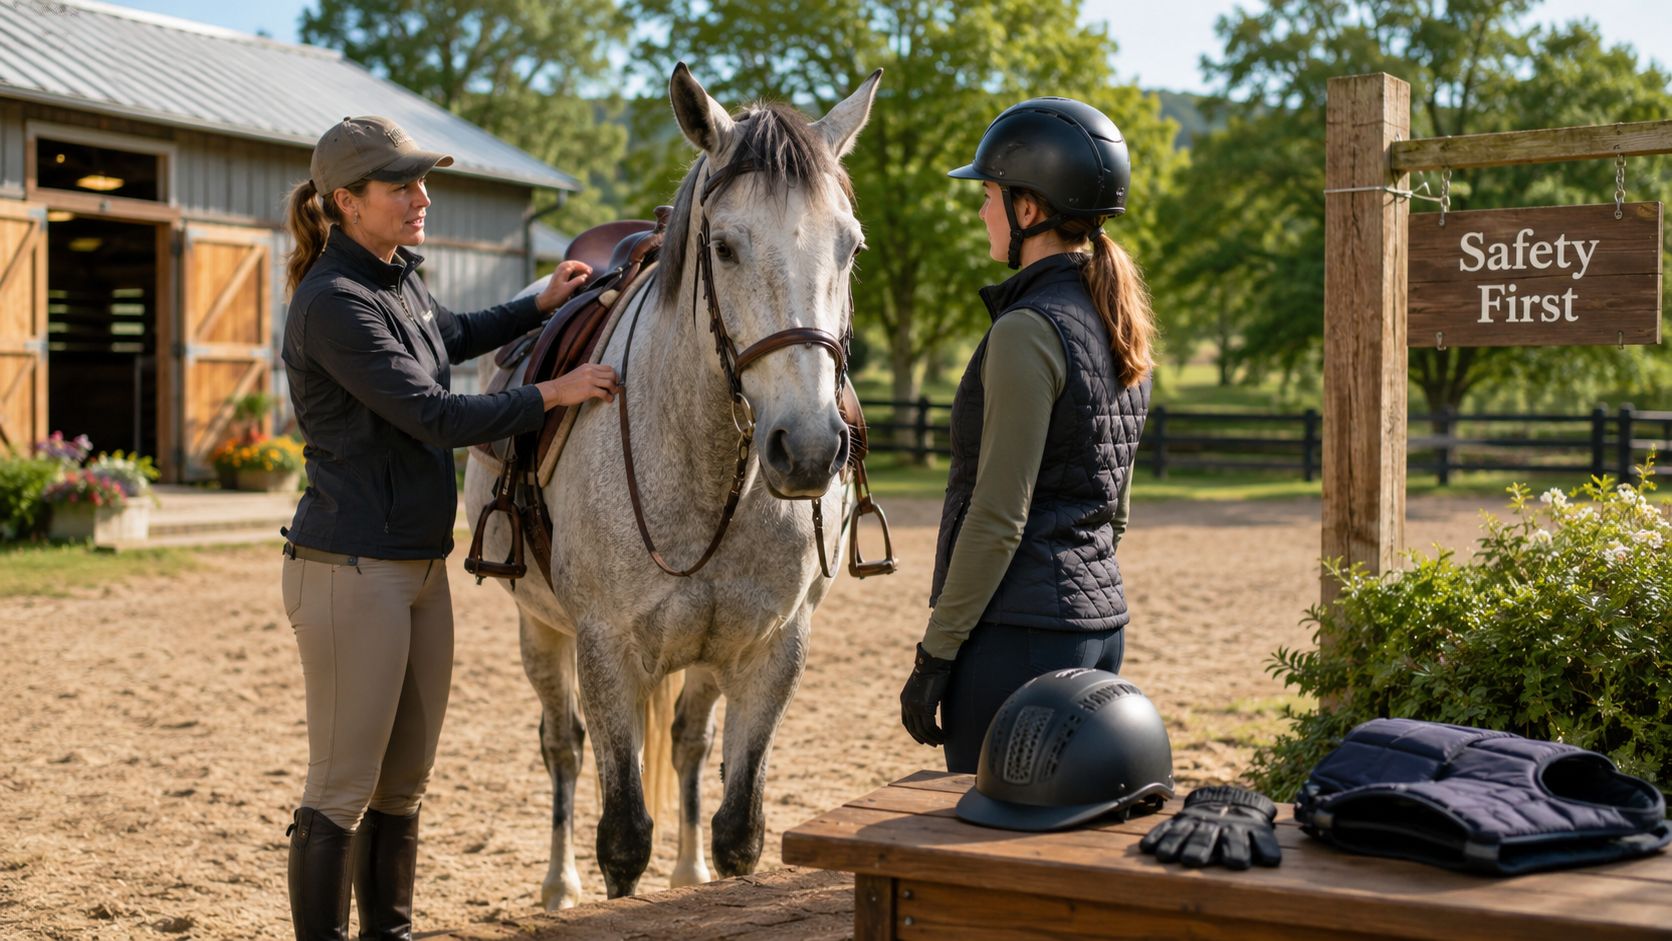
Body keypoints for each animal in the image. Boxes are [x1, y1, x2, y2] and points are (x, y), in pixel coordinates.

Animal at [463, 63, 882, 907]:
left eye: (850, 247)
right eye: (724, 245)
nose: (809, 448)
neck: (710, 470)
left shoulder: (772, 647)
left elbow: (738, 830)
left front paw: (704, 870)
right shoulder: (606, 647)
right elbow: (623, 838)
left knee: (689, 742)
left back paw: (686, 871)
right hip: (541, 629)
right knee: (562, 747)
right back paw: (559, 883)